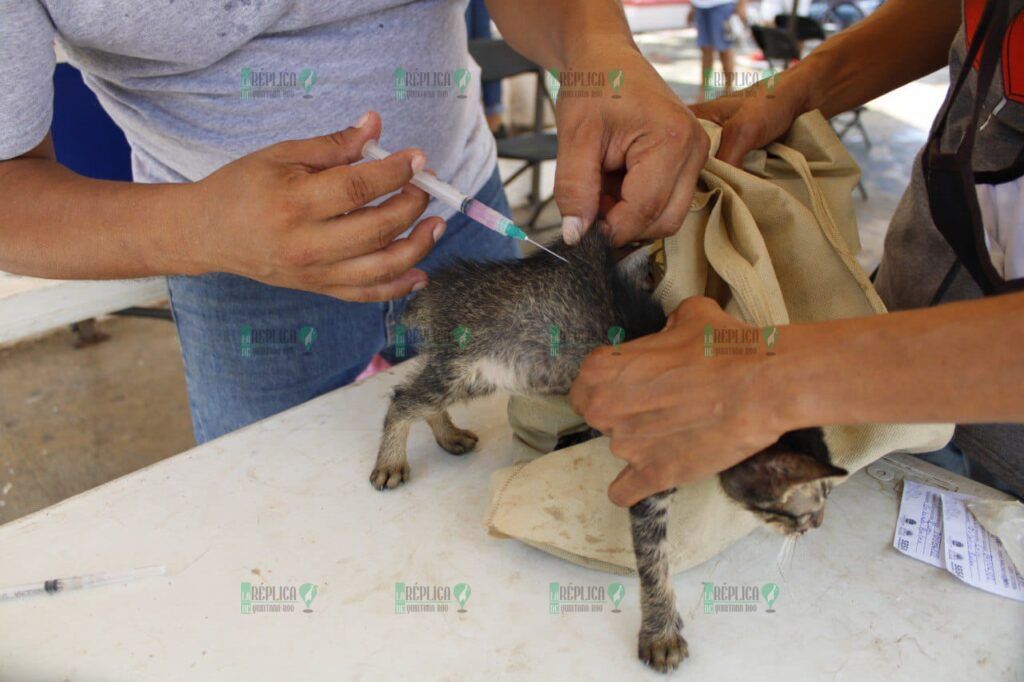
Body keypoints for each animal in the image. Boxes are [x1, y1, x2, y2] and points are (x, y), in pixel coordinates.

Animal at [372, 227, 843, 667]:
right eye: (804, 507)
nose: (818, 525)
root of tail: (442, 286)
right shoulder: (650, 476)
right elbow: (654, 562)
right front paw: (661, 634)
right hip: (472, 365)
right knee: (403, 398)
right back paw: (391, 461)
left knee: (420, 394)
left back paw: (447, 434)